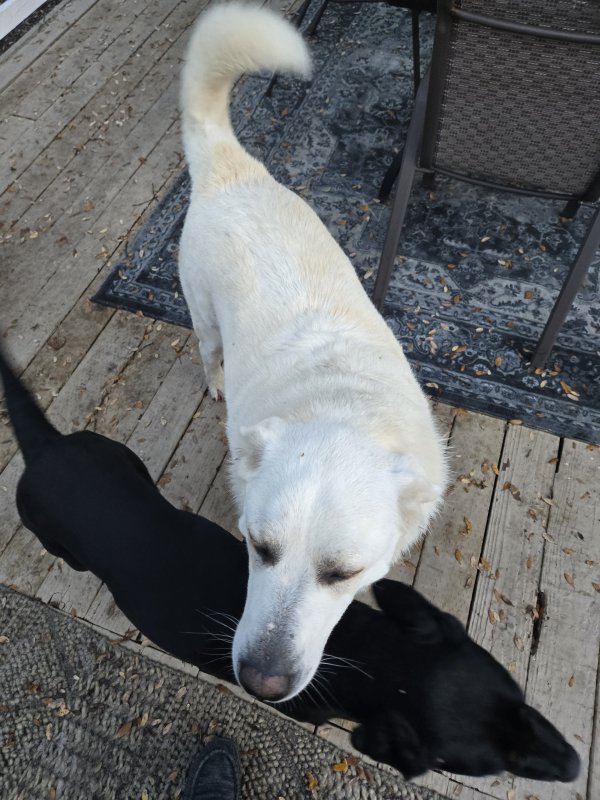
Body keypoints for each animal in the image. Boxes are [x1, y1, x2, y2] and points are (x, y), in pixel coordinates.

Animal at [1, 350, 580, 780]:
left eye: (521, 702)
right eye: (485, 763)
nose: (573, 766)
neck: (372, 653)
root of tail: (47, 446)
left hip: (125, 460)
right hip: (54, 536)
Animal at [178, 3, 446, 704]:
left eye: (344, 573)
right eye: (257, 547)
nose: (262, 683)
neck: (341, 405)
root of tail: (233, 168)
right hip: (204, 317)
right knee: (207, 351)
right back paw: (215, 380)